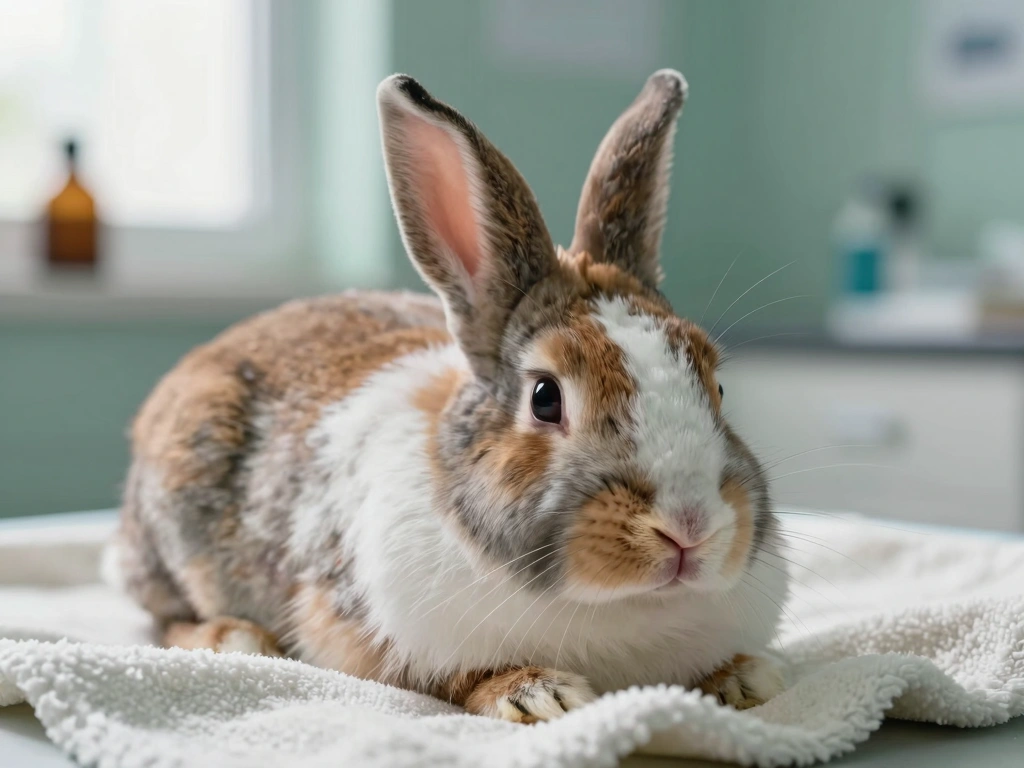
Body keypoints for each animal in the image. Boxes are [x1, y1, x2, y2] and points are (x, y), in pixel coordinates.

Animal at [107, 69, 789, 722]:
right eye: (545, 397)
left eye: (717, 385)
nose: (689, 528)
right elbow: (457, 677)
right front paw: (539, 694)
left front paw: (746, 678)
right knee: (161, 615)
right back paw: (237, 637)